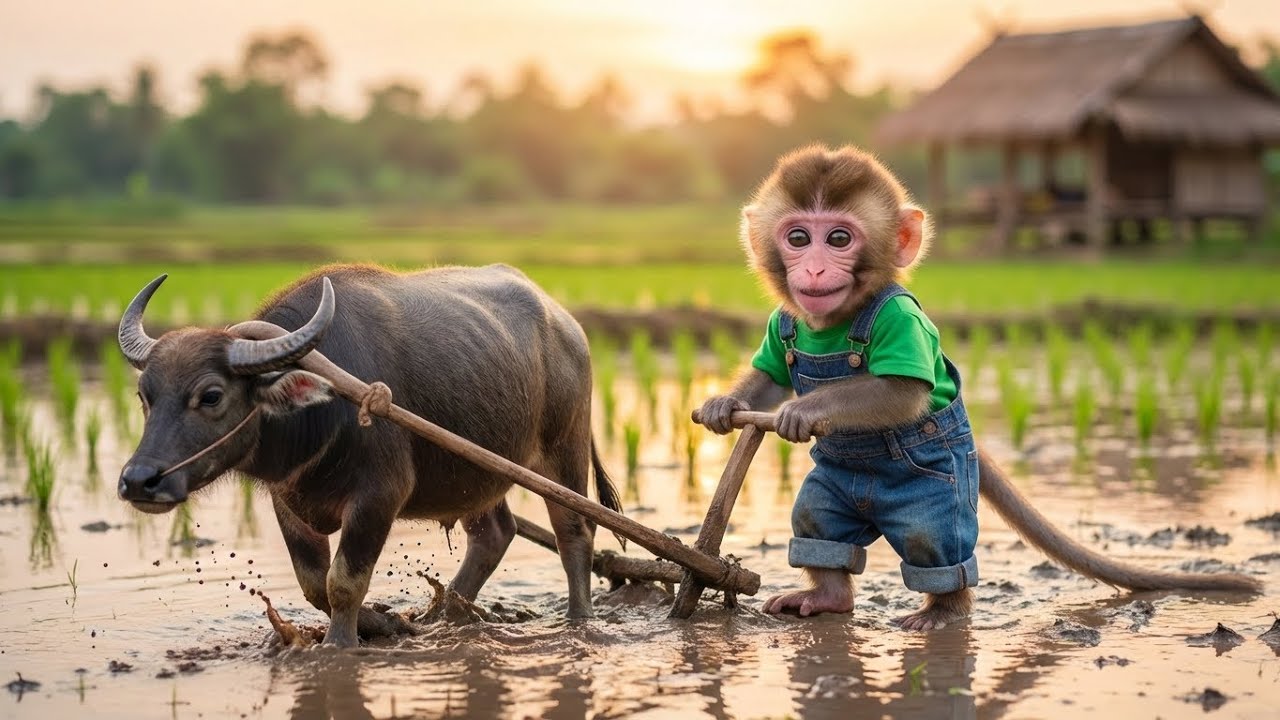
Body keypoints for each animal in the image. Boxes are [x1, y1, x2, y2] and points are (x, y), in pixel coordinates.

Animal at [118, 263, 620, 647]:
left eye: (211, 396)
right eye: (145, 395)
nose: (139, 480)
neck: (322, 409)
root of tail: (568, 325)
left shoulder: (379, 496)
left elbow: (343, 582)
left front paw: (341, 644)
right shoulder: (288, 503)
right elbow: (314, 584)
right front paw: (387, 622)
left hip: (564, 450)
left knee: (575, 532)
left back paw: (579, 619)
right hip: (475, 472)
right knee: (495, 533)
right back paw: (440, 616)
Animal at [697, 144, 1262, 630]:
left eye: (839, 239)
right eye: (798, 238)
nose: (814, 268)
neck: (832, 323)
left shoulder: (902, 322)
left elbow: (900, 391)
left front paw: (803, 411)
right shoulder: (783, 324)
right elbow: (771, 375)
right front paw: (724, 405)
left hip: (944, 484)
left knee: (935, 543)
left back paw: (943, 610)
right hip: (836, 488)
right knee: (818, 520)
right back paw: (827, 595)